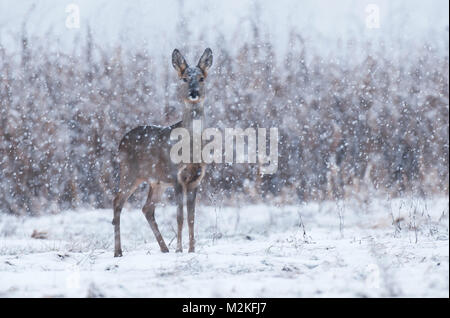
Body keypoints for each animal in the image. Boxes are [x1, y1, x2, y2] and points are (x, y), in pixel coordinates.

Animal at [111, 47, 212, 256]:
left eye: (201, 78)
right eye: (184, 78)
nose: (193, 93)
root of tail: (121, 141)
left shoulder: (197, 178)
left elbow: (192, 217)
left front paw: (192, 249)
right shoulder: (176, 176)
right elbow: (180, 216)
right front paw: (180, 249)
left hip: (156, 181)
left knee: (147, 208)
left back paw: (164, 248)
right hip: (130, 172)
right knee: (117, 201)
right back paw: (118, 251)